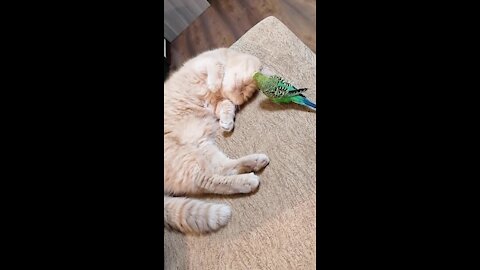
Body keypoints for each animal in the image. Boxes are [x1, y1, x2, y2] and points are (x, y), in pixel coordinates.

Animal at [165, 48, 270, 234]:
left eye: (245, 94)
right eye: (242, 88)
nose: (238, 100)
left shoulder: (218, 103)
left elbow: (225, 106)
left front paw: (227, 122)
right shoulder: (203, 64)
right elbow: (214, 67)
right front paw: (214, 83)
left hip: (200, 148)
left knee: (221, 170)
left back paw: (255, 164)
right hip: (183, 158)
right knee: (207, 180)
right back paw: (249, 180)